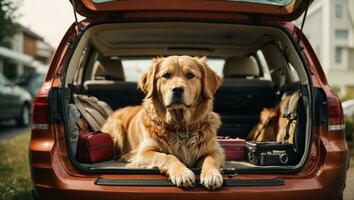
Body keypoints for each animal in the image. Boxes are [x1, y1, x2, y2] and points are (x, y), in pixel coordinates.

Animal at [101, 55, 224, 189]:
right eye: (166, 75)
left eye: (190, 75)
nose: (177, 89)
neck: (181, 126)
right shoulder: (145, 152)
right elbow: (167, 156)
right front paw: (182, 173)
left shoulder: (216, 151)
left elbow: (210, 159)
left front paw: (212, 174)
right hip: (116, 129)